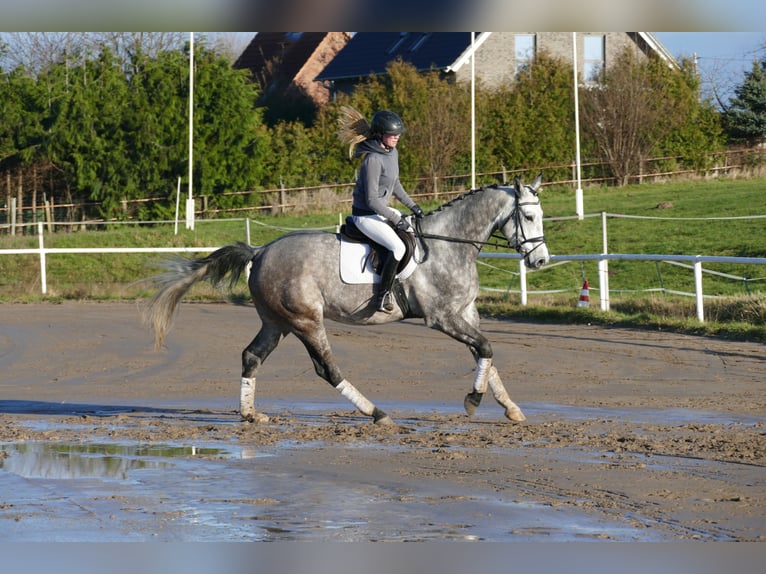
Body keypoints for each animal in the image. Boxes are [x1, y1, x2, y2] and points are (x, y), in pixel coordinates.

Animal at [142, 174, 549, 426]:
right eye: (529, 216)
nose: (540, 261)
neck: (449, 243)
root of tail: (260, 251)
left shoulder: (466, 312)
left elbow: (486, 356)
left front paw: (511, 409)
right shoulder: (442, 317)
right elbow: (486, 348)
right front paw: (473, 402)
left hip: (277, 322)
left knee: (252, 356)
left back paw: (250, 414)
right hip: (306, 320)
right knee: (327, 369)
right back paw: (377, 413)